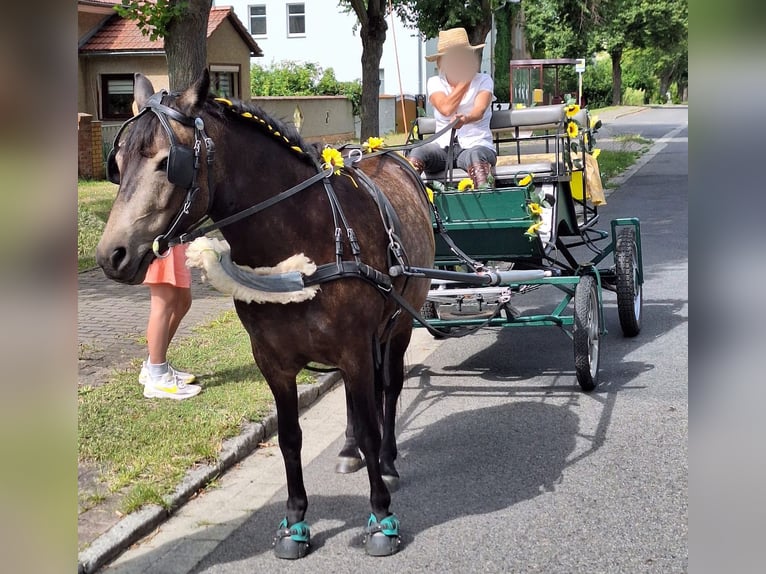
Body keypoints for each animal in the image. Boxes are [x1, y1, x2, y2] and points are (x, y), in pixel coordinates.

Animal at [97, 72, 436, 560]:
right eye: (118, 163)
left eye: (166, 163)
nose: (112, 255)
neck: (303, 237)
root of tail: (389, 155)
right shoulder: (272, 361)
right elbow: (290, 437)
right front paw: (295, 521)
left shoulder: (355, 348)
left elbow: (372, 421)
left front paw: (381, 516)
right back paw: (348, 449)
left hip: (401, 322)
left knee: (388, 387)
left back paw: (387, 460)